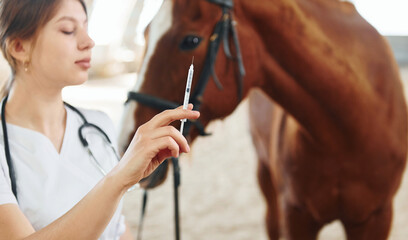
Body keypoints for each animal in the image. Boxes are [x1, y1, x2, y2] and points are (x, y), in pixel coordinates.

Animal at [118, 0, 408, 239]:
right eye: (146, 34)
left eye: (190, 40)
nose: (127, 143)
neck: (345, 135)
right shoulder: (296, 215)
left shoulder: (376, 218)